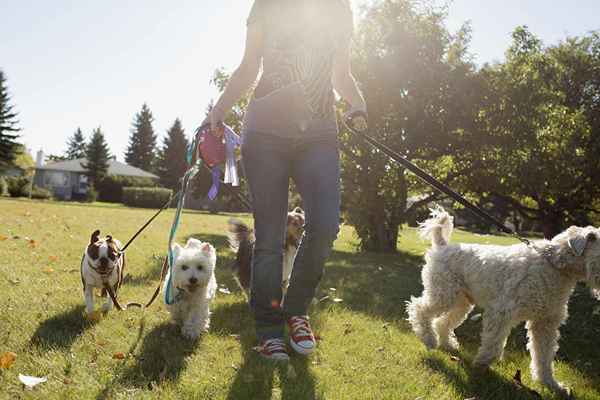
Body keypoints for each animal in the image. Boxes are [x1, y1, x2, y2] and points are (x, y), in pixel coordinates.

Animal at [408, 208, 600, 396]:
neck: (554, 265)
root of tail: (442, 246)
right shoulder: (501, 313)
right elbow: (493, 346)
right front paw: (481, 365)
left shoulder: (545, 323)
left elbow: (544, 357)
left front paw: (551, 384)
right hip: (443, 295)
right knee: (418, 308)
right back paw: (429, 339)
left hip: (461, 303)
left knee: (442, 322)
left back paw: (447, 344)